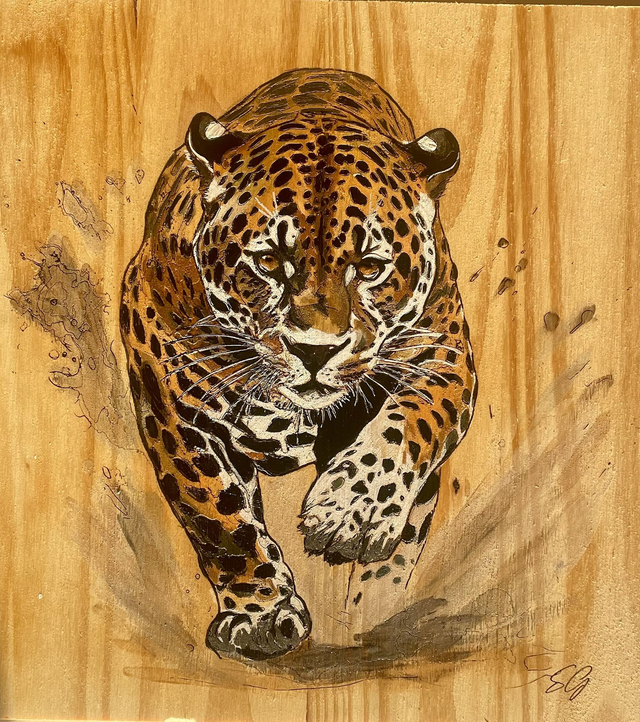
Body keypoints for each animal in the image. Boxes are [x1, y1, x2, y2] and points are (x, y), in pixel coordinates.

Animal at [120, 68, 477, 661]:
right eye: (268, 262)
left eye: (369, 267)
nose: (314, 350)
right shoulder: (170, 400)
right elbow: (217, 514)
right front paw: (262, 616)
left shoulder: (445, 356)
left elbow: (407, 426)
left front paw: (350, 512)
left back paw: (372, 614)